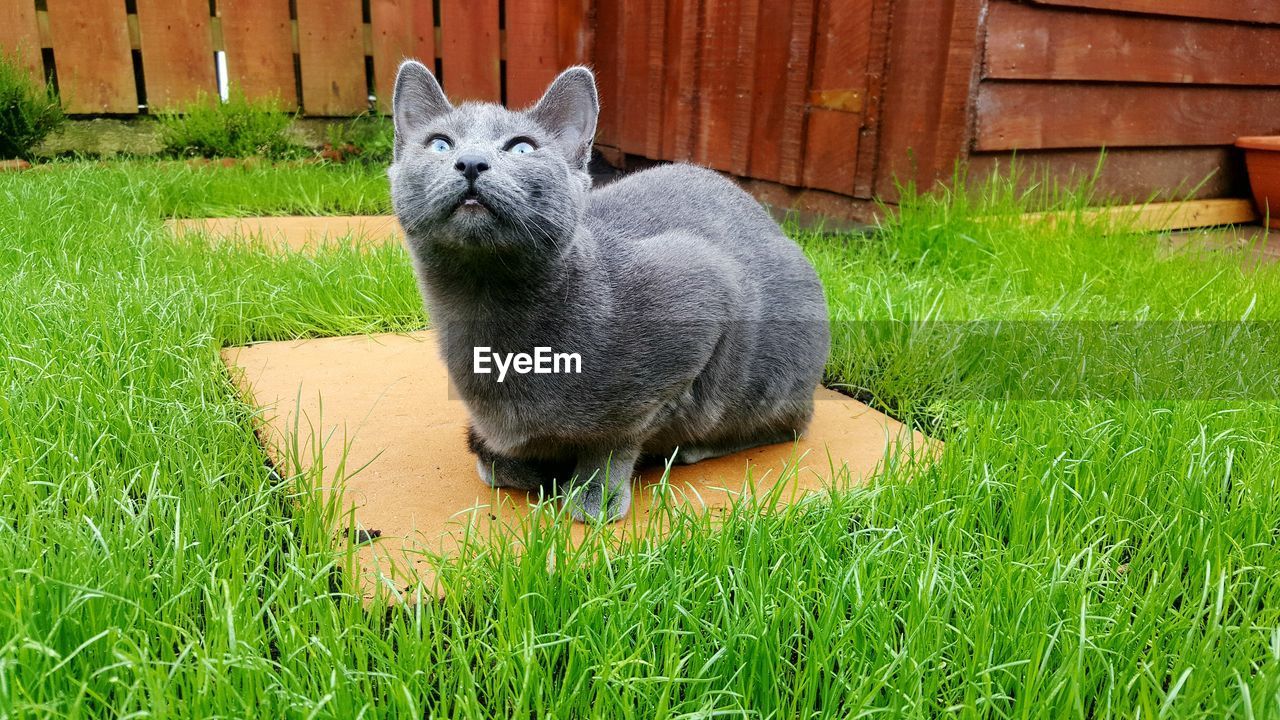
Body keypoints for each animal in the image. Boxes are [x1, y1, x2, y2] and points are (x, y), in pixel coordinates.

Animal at [386, 61, 829, 517]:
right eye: (439, 144)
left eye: (522, 148)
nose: (471, 162)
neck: (485, 305)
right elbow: (493, 463)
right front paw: (520, 464)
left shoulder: (704, 284)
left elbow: (618, 437)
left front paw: (592, 492)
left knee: (791, 424)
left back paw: (693, 448)